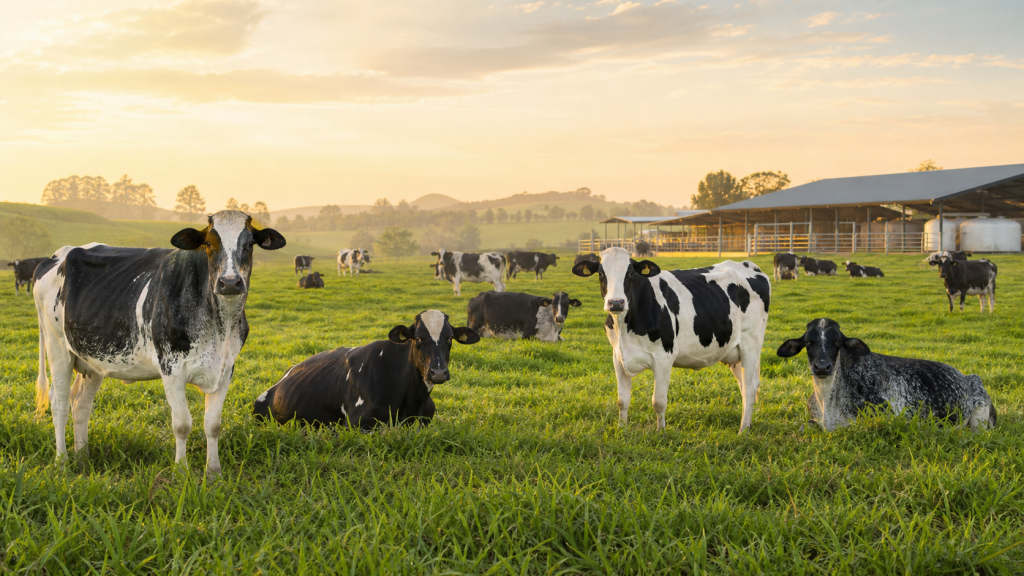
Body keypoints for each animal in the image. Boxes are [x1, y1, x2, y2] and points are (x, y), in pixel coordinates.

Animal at [32, 211, 286, 475]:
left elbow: (213, 424)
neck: (220, 328)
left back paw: (83, 458)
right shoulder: (171, 369)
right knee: (59, 402)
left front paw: (214, 472)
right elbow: (182, 424)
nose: (229, 282)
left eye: (249, 244)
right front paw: (181, 471)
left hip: (92, 359)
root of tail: (59, 254)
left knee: (80, 404)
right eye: (208, 244)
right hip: (57, 345)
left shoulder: (225, 369)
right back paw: (62, 462)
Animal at [572, 247, 771, 433]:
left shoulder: (663, 358)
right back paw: (748, 424)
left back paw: (742, 430)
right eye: (601, 273)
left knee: (750, 388)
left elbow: (658, 401)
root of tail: (748, 264)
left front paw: (661, 432)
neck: (625, 329)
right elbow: (622, 400)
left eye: (630, 273)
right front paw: (621, 429)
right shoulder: (618, 356)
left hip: (750, 344)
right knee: (745, 387)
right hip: (734, 353)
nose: (616, 303)